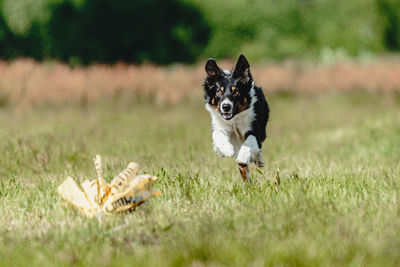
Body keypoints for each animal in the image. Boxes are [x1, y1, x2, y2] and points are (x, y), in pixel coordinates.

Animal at [203, 54, 268, 182]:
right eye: (219, 92)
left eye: (236, 92)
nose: (226, 107)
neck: (234, 120)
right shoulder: (218, 125)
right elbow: (217, 134)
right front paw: (227, 150)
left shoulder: (254, 129)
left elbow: (250, 141)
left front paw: (243, 157)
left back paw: (257, 160)